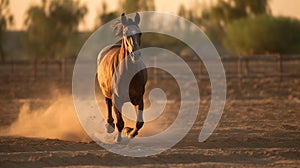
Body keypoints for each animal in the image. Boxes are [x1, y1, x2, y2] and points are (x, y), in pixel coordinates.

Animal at [96, 12, 147, 142]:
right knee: (107, 103)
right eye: (125, 33)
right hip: (106, 92)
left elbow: (139, 122)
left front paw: (130, 133)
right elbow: (120, 122)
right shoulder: (117, 99)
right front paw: (118, 138)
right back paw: (109, 126)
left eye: (140, 33)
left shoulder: (139, 98)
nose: (136, 54)